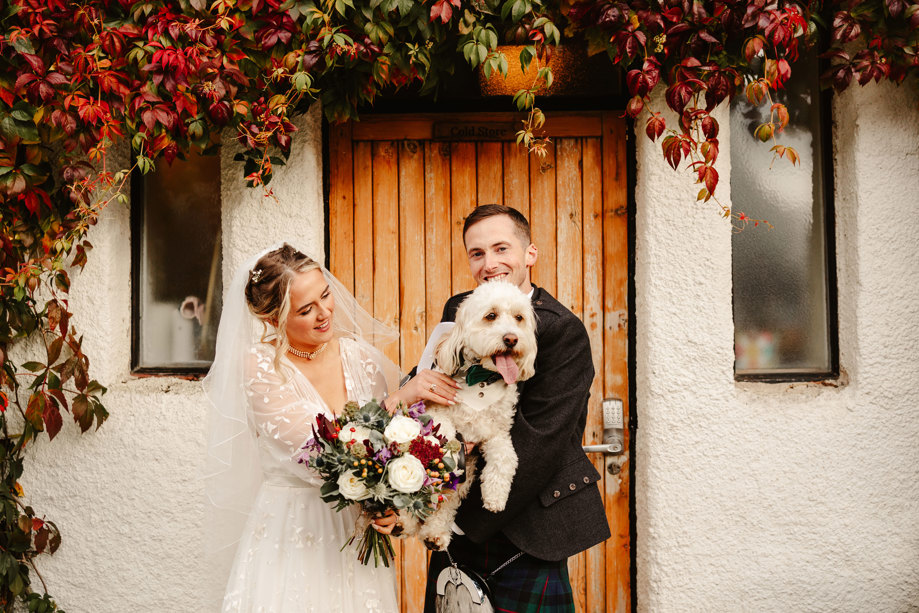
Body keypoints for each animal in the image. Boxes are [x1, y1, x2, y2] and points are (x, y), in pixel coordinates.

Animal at [404, 280, 536, 548]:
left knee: (443, 505)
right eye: (491, 316)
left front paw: (496, 497)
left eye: (519, 318)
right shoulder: (436, 411)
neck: (481, 379)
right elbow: (445, 435)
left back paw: (435, 535)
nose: (511, 339)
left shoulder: (496, 434)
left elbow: (506, 459)